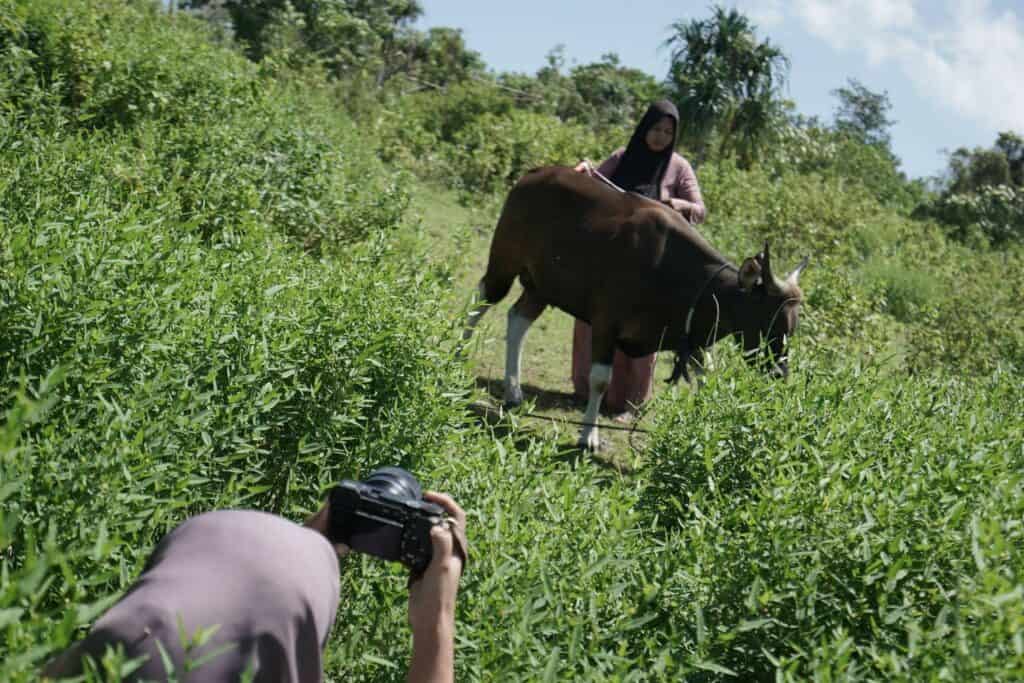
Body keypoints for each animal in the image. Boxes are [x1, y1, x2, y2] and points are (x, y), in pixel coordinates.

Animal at [460, 167, 802, 450]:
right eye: (769, 321)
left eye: (792, 326)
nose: (779, 372)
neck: (681, 276)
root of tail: (532, 175)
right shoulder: (605, 323)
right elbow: (600, 379)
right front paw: (588, 436)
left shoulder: (692, 339)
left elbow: (708, 381)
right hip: (504, 262)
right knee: (479, 304)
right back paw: (458, 358)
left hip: (542, 286)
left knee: (518, 319)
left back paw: (513, 392)